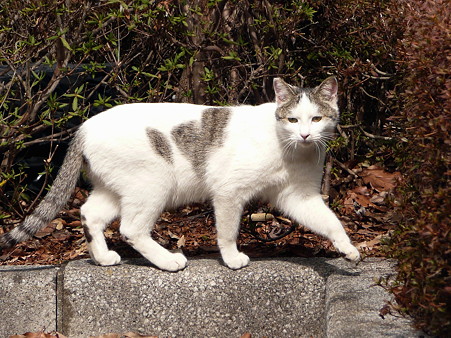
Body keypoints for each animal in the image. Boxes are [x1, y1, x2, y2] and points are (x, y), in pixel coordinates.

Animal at [0, 77, 360, 272]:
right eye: (292, 119)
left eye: (316, 119)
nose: (305, 135)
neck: (291, 150)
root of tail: (85, 126)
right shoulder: (229, 192)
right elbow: (227, 231)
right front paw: (232, 258)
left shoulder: (299, 196)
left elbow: (330, 221)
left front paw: (348, 250)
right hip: (153, 184)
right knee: (131, 229)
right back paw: (168, 260)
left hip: (118, 189)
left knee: (89, 214)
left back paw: (103, 258)